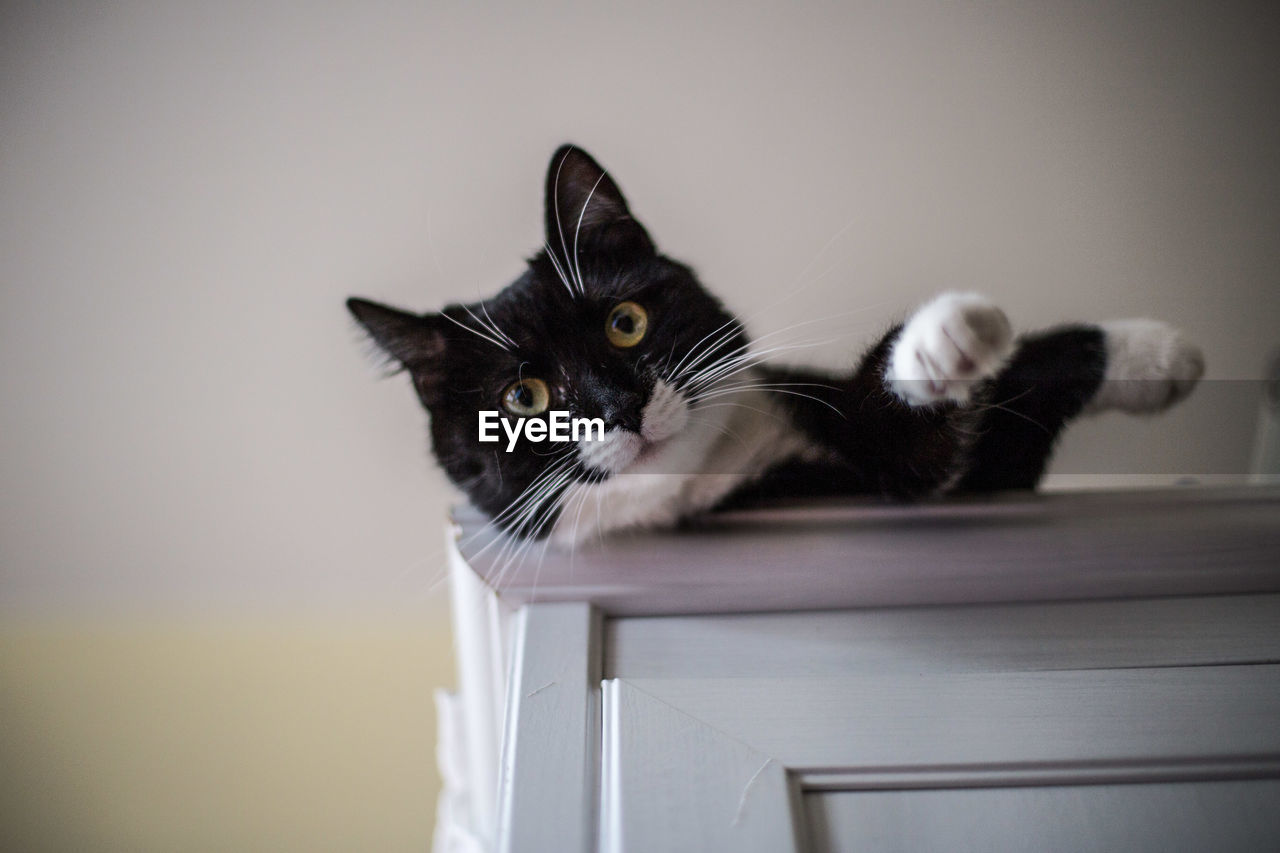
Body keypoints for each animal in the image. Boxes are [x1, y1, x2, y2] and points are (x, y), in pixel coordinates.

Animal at [345, 144, 1203, 545]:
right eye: (523, 397)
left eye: (627, 321)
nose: (621, 408)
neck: (727, 474)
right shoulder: (900, 471)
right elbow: (925, 442)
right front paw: (943, 342)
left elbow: (1019, 396)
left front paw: (1158, 354)